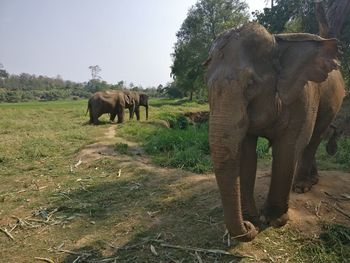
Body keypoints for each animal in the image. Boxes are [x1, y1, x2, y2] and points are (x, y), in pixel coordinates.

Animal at [204, 23, 346, 242]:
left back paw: (301, 186)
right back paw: (311, 182)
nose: (248, 227)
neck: (276, 42)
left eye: (250, 85)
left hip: (333, 104)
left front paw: (272, 220)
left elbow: (288, 148)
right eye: (207, 86)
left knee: (313, 140)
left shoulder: (302, 96)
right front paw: (252, 217)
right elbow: (246, 153)